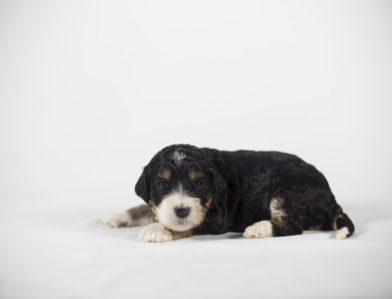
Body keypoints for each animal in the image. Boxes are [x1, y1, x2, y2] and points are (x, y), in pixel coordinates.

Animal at [102, 144, 356, 243]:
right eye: (161, 183)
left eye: (200, 183)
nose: (182, 210)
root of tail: (331, 198)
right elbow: (146, 208)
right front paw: (117, 217)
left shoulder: (218, 217)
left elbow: (188, 224)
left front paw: (157, 230)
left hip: (287, 193)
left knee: (293, 225)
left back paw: (258, 228)